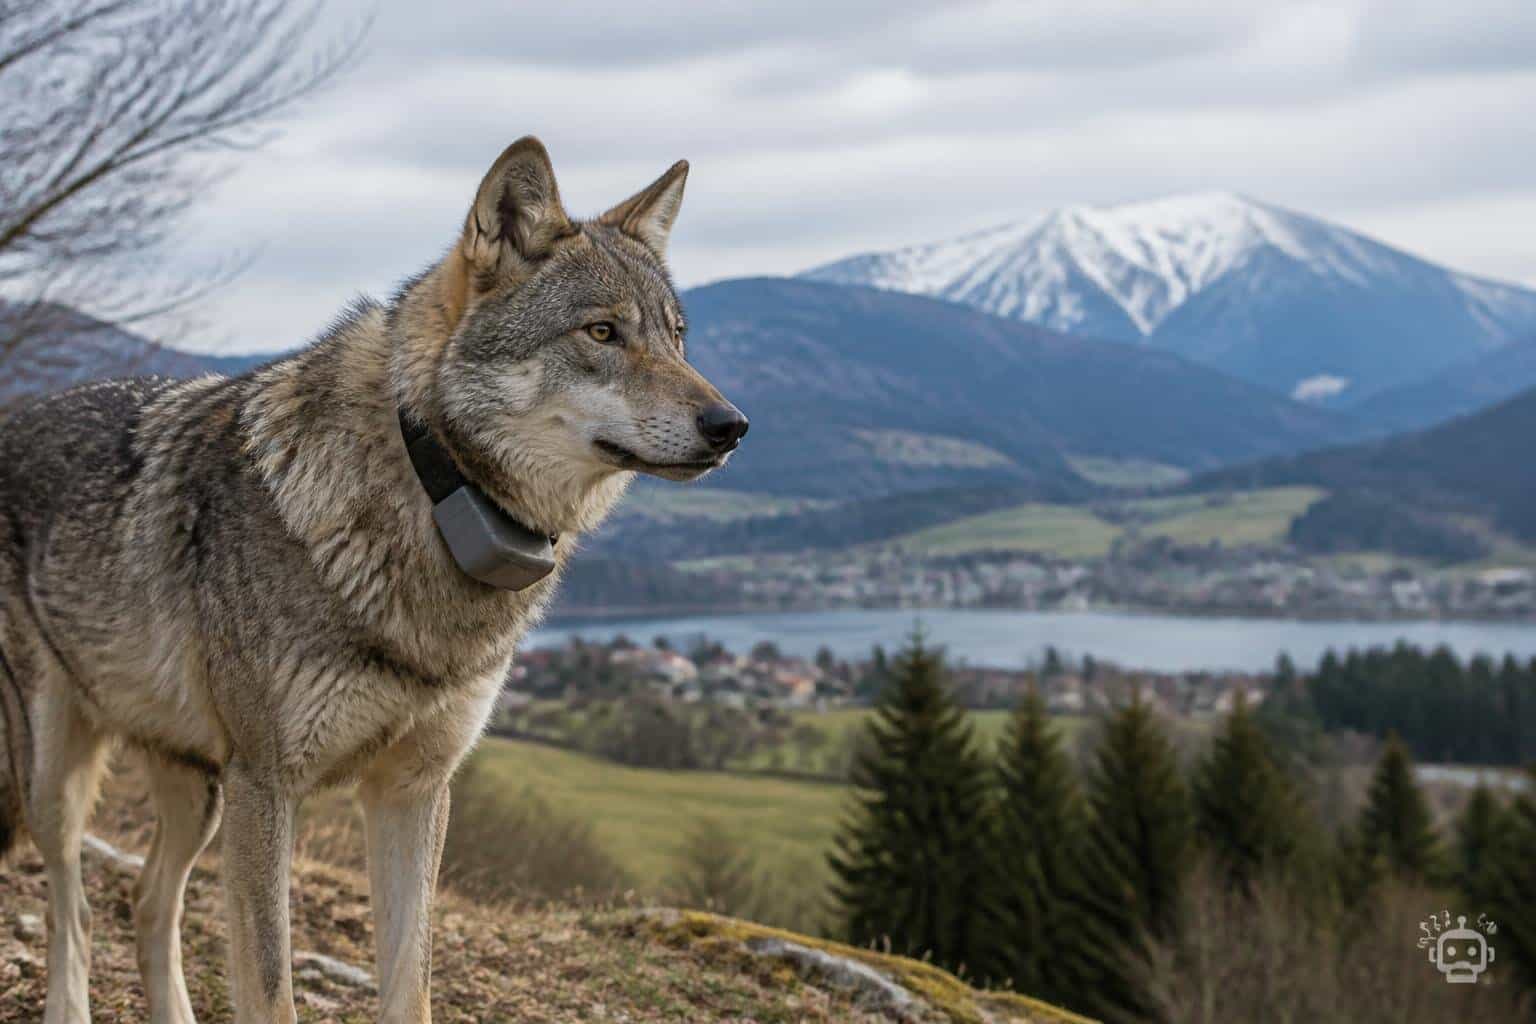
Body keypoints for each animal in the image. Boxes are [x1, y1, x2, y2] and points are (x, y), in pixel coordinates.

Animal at [0, 136, 747, 1024]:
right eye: (602, 331)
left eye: (677, 338)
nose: (732, 426)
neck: (431, 493)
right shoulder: (268, 787)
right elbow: (272, 990)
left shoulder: (414, 791)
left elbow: (409, 983)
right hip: (59, 775)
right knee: (73, 905)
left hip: (195, 791)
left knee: (149, 903)